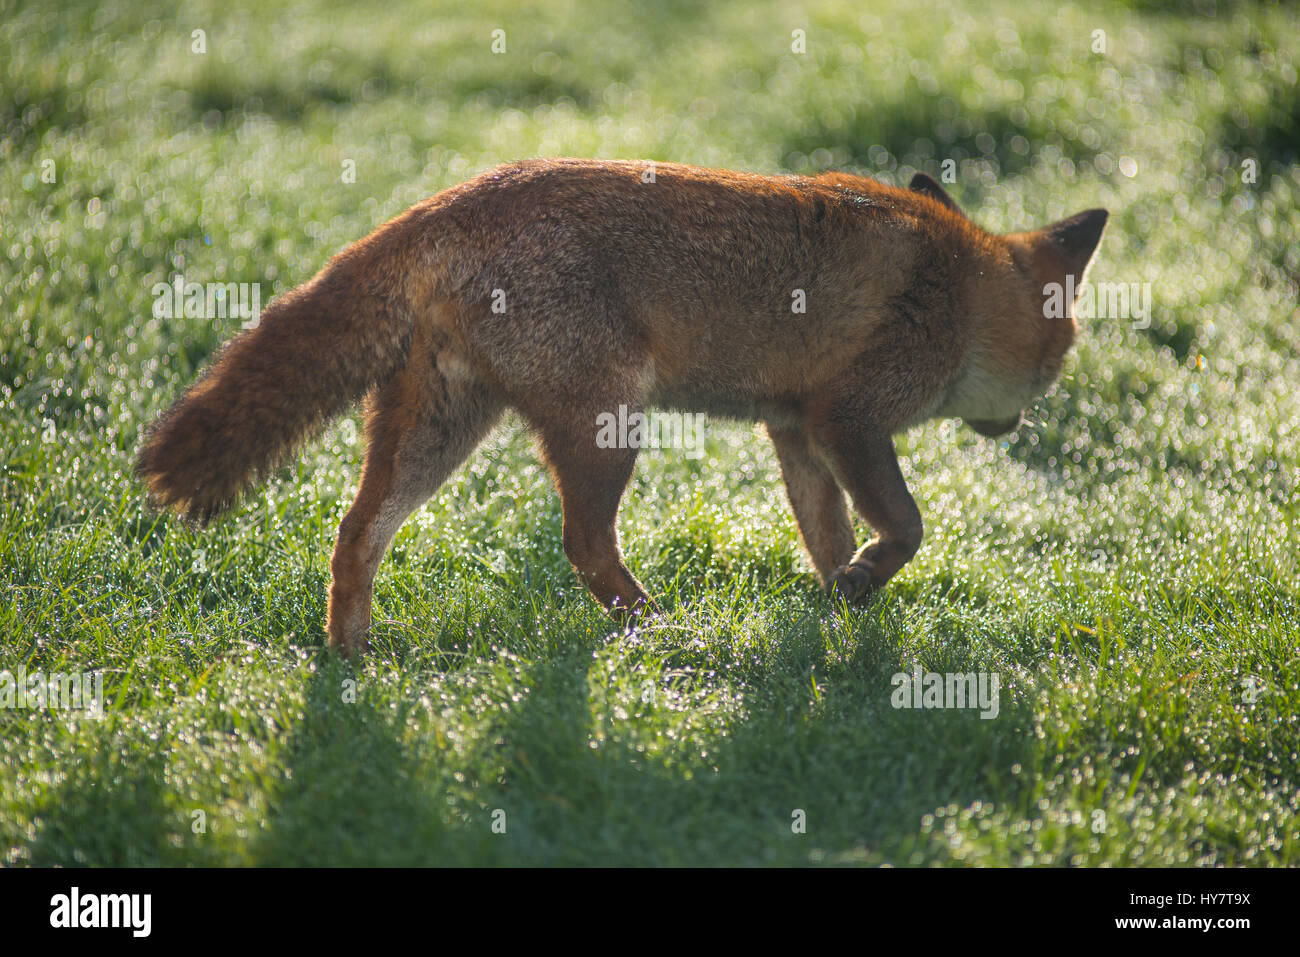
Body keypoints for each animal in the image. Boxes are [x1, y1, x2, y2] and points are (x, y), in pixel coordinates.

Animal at [139, 160, 1107, 660]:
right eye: (1058, 363)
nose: (1020, 424)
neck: (961, 285)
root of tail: (459, 195)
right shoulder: (850, 417)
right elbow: (905, 526)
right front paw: (865, 585)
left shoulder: (794, 427)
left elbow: (826, 533)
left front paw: (842, 608)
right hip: (608, 427)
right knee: (582, 543)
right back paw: (653, 626)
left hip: (441, 431)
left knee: (355, 532)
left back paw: (350, 659)